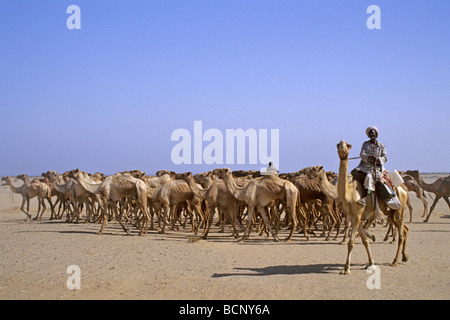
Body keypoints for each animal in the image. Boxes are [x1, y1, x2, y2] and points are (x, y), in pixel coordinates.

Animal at [336, 141, 410, 276]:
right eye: (338, 144)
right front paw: (370, 263)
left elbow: (351, 242)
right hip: (390, 213)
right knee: (405, 229)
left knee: (401, 234)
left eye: (347, 145)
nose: (341, 146)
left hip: (399, 209)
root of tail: (404, 189)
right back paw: (404, 257)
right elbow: (365, 241)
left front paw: (346, 269)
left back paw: (395, 261)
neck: (349, 194)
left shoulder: (357, 215)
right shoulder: (354, 216)